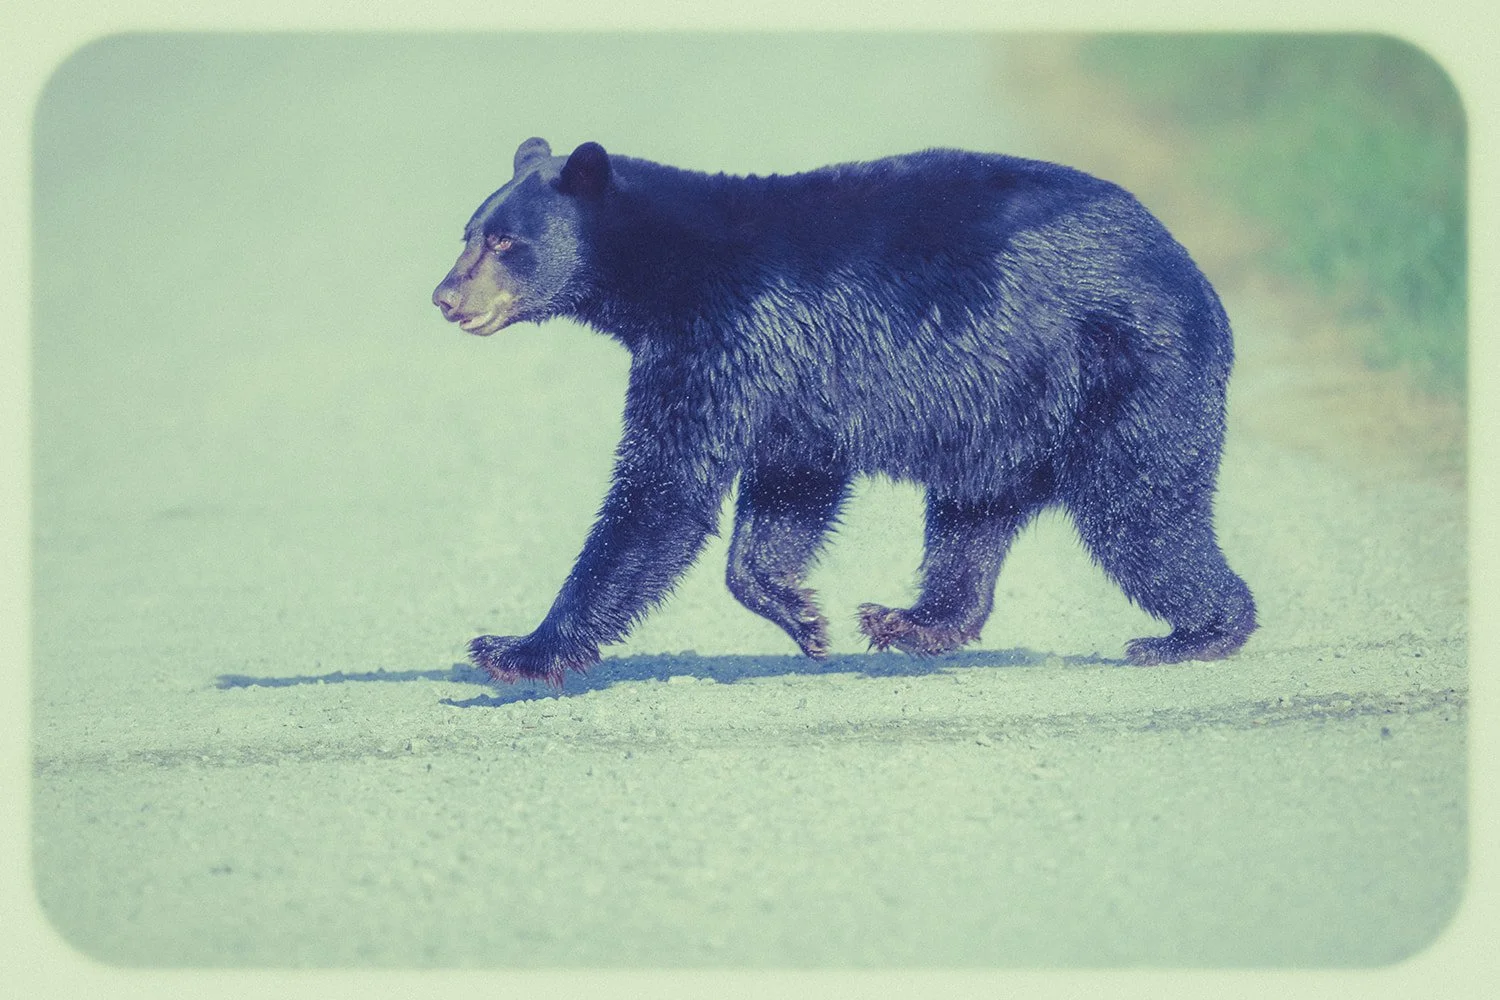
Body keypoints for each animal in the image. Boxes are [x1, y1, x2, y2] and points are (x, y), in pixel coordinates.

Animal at [432, 137, 1257, 687]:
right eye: (468, 232)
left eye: (504, 240)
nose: (444, 296)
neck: (664, 278)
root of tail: (1193, 276)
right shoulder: (790, 385)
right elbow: (790, 487)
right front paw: (804, 615)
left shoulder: (730, 341)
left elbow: (663, 490)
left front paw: (515, 648)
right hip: (1005, 422)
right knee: (972, 521)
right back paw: (913, 620)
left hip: (1124, 379)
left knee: (1140, 513)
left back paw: (1196, 634)